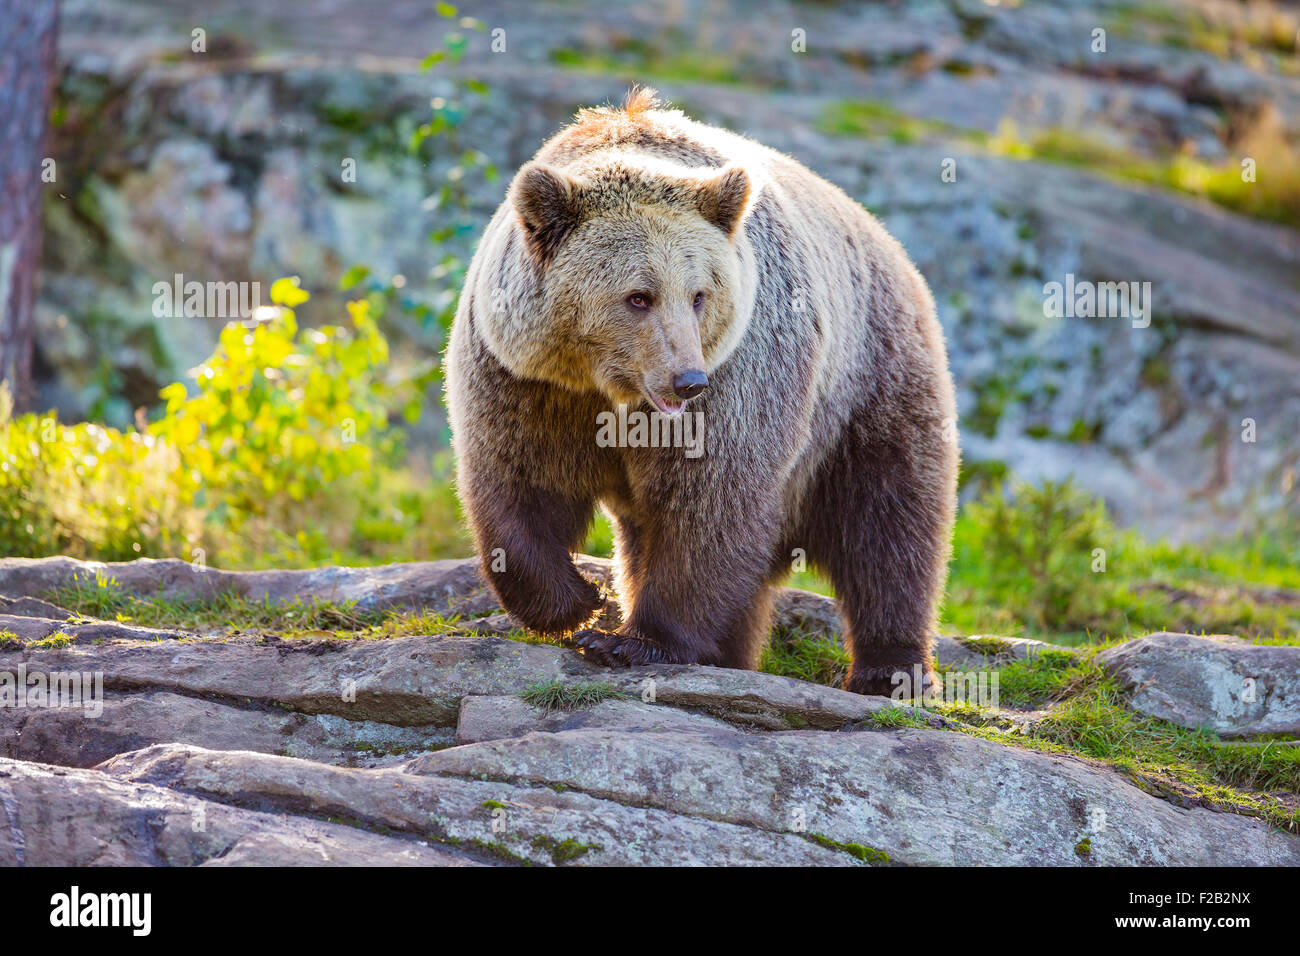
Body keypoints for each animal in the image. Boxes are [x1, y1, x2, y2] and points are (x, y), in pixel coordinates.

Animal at [444, 87, 956, 697]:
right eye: (638, 296)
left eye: (698, 294)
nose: (686, 380)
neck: (610, 389)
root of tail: (895, 249)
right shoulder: (526, 380)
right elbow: (519, 479)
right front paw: (578, 601)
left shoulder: (741, 372)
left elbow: (711, 499)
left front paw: (632, 639)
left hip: (869, 382)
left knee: (887, 521)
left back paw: (889, 668)